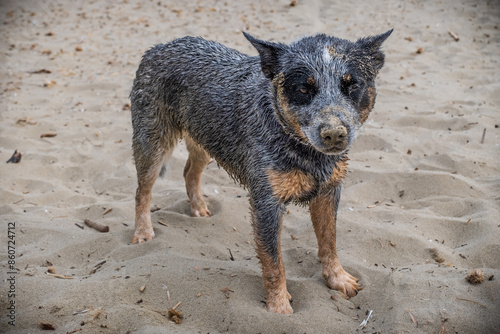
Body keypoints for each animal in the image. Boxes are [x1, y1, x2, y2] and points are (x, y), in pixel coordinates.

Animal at [131, 30, 392, 314]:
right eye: (303, 88)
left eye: (351, 85)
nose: (334, 133)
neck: (303, 150)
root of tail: (161, 45)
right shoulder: (267, 202)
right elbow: (273, 263)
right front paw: (279, 307)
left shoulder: (329, 191)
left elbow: (329, 241)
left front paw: (337, 278)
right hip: (153, 142)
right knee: (142, 190)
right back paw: (143, 232)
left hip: (205, 138)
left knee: (190, 172)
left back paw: (198, 208)